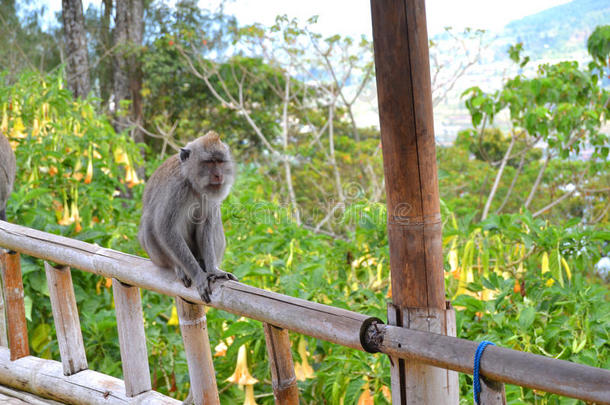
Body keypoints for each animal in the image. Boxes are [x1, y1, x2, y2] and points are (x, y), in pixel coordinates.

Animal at [139, 131, 236, 302]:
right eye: (209, 162)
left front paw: (213, 270)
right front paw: (198, 276)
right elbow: (165, 228)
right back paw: (178, 267)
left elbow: (206, 226)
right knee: (150, 220)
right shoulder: (176, 188)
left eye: (219, 161)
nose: (219, 175)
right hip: (156, 257)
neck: (193, 184)